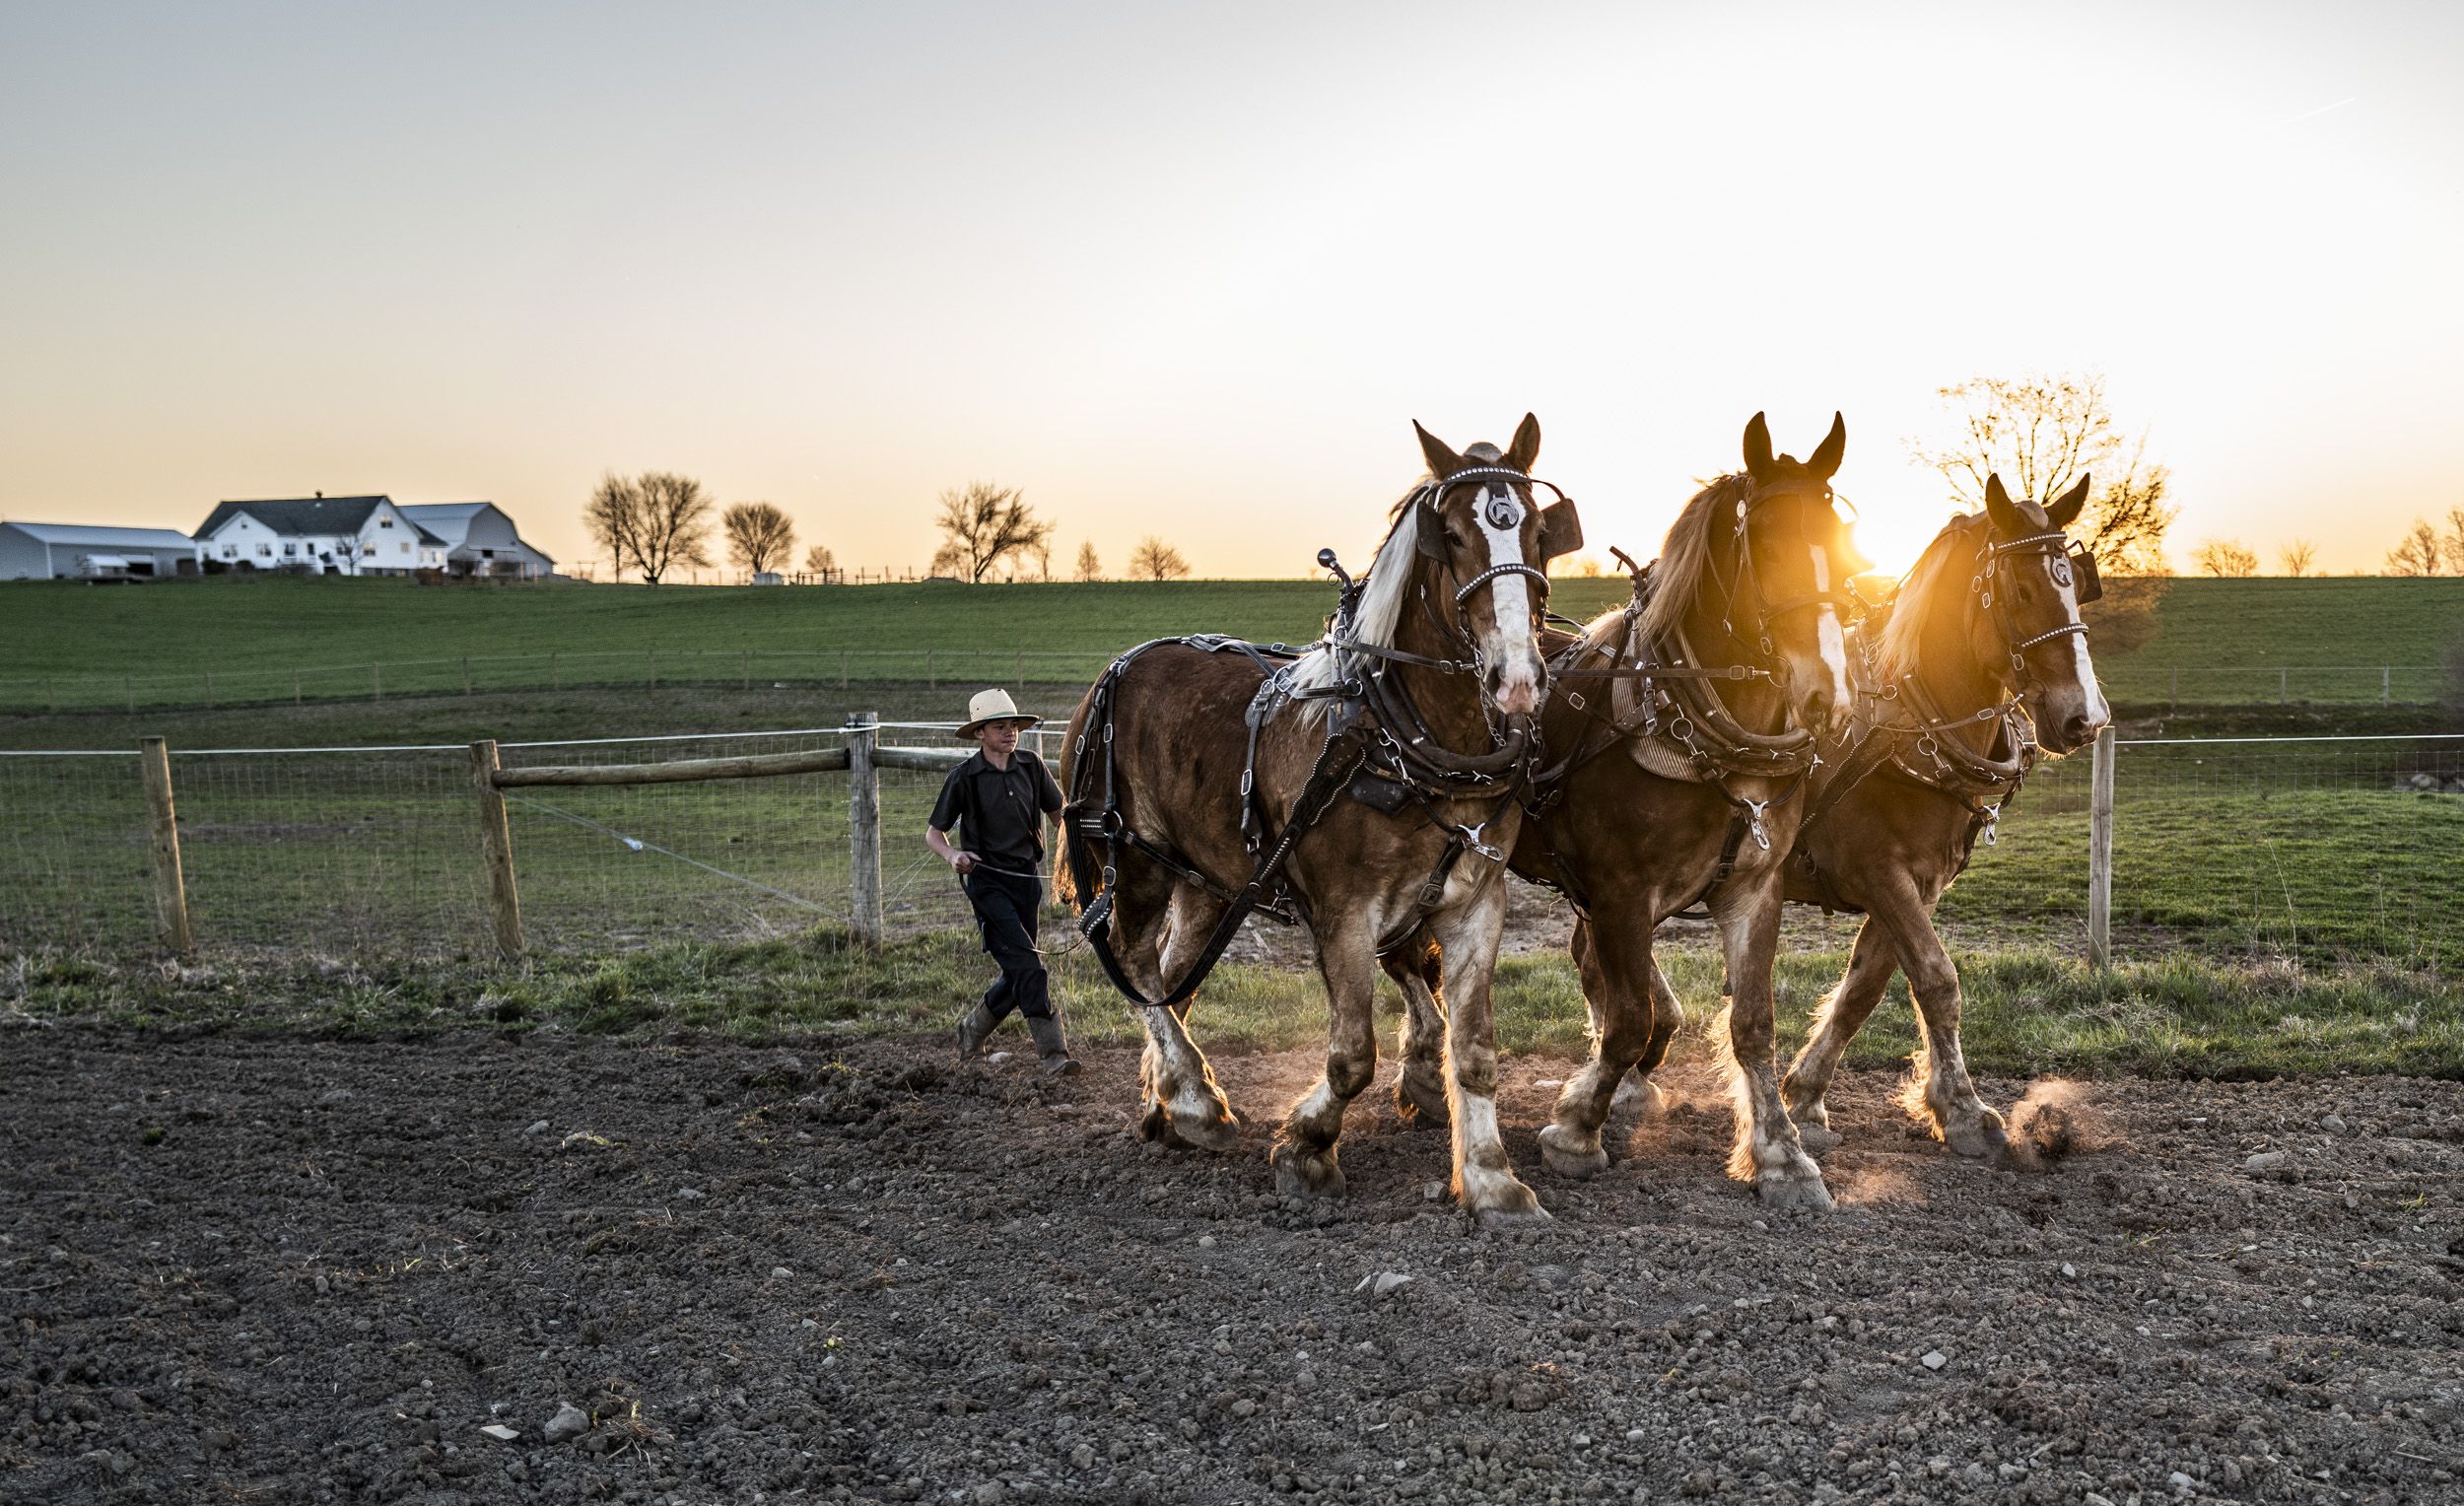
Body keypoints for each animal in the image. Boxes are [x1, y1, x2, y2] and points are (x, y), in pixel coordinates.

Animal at [1055, 411, 1577, 1227]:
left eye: (1537, 531)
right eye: (1452, 535)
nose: (1518, 679)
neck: (1400, 733)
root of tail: (1118, 668)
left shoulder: (1475, 905)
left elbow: (1476, 1049)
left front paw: (1491, 1178)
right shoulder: (1344, 912)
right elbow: (1352, 1053)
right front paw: (1305, 1147)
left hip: (1207, 882)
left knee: (1174, 978)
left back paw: (1164, 1100)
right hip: (1134, 859)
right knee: (1137, 965)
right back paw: (1195, 1101)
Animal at [1390, 416, 1853, 1212]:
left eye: (1842, 537)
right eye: (1768, 545)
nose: (1830, 693)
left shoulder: (1753, 888)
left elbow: (1753, 1023)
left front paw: (1782, 1155)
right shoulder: (1619, 893)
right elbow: (1631, 1019)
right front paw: (1576, 1129)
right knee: (1408, 960)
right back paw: (1422, 1067)